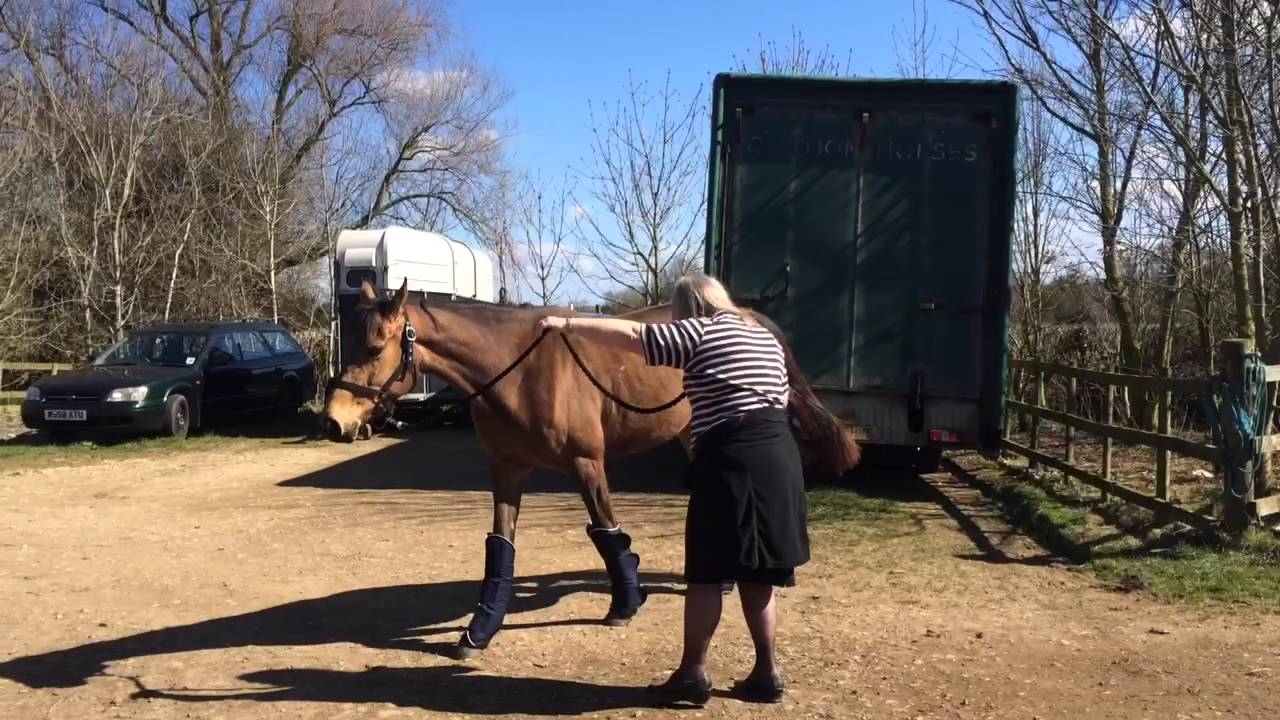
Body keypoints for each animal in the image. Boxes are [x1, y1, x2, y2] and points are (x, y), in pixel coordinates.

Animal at [321, 279, 860, 658]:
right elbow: (501, 549)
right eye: (350, 345)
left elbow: (607, 533)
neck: (518, 370)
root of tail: (745, 314)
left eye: (375, 348)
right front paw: (479, 631)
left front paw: (625, 605)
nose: (334, 421)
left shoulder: (587, 465)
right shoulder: (507, 472)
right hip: (693, 432)